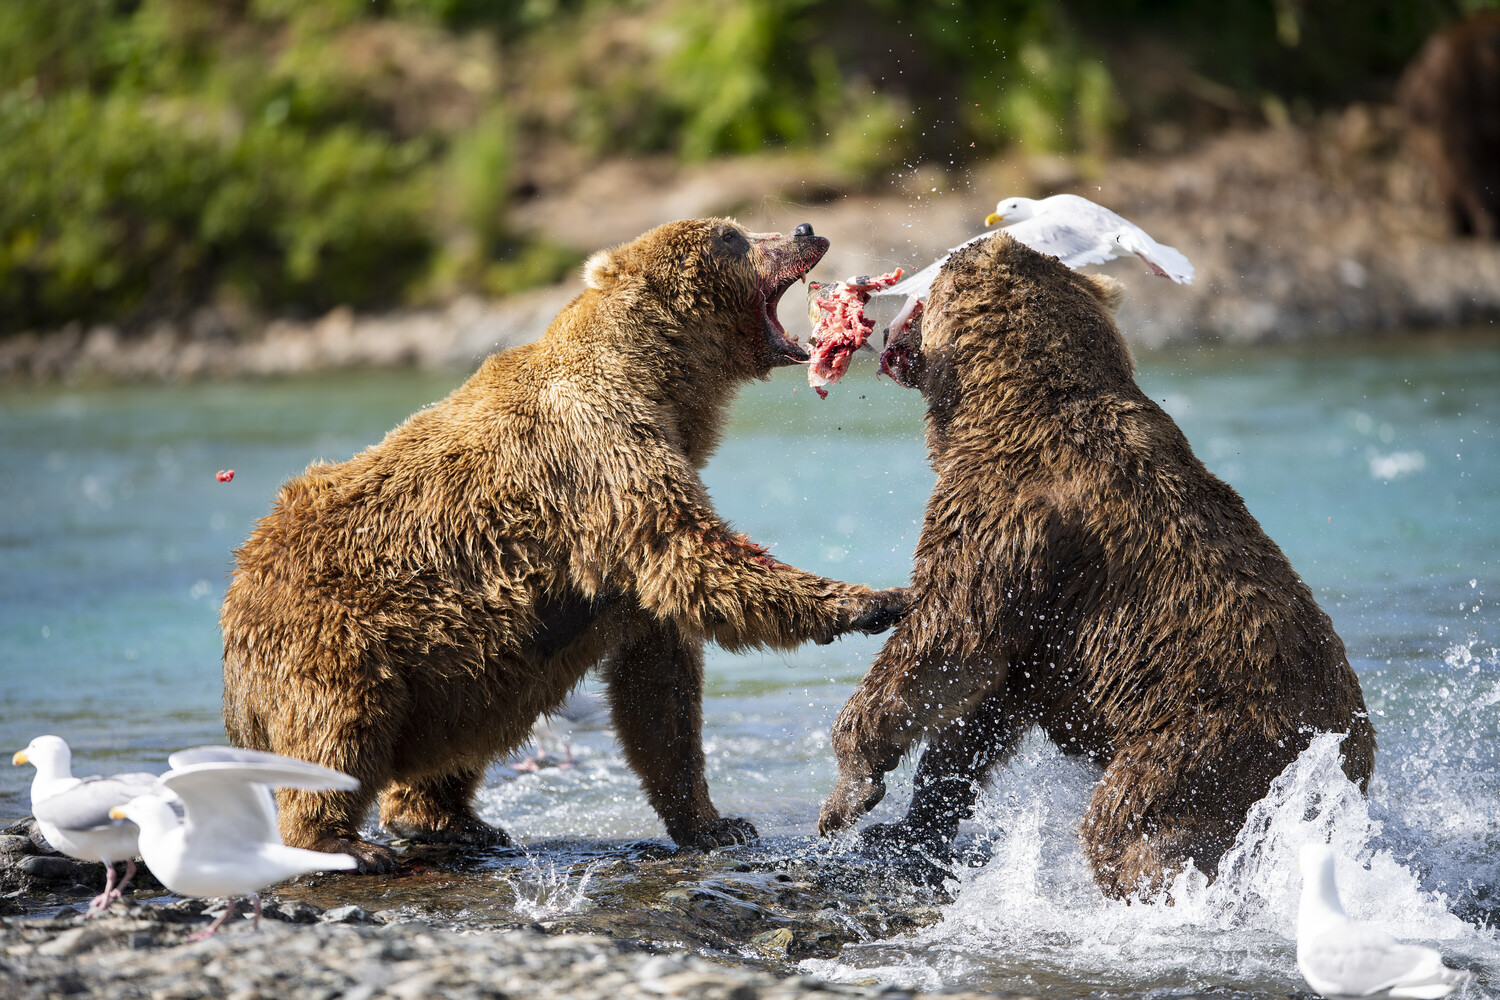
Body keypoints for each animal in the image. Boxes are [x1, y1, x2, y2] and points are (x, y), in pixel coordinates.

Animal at [221, 218, 910, 873]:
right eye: (732, 235)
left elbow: (661, 689)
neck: (658, 382)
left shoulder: (621, 551)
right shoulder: (602, 454)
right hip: (342, 632)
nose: (803, 230)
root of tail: (236, 596)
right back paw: (342, 841)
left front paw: (715, 823)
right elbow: (692, 559)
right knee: (339, 729)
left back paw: (446, 819)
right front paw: (876, 599)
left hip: (453, 668)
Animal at [816, 232, 1375, 898]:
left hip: (1208, 734)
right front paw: (910, 828)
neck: (1002, 403)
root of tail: (1350, 754)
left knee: (1132, 825)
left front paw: (847, 794)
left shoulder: (1007, 516)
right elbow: (978, 716)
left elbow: (946, 639)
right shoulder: (1041, 635)